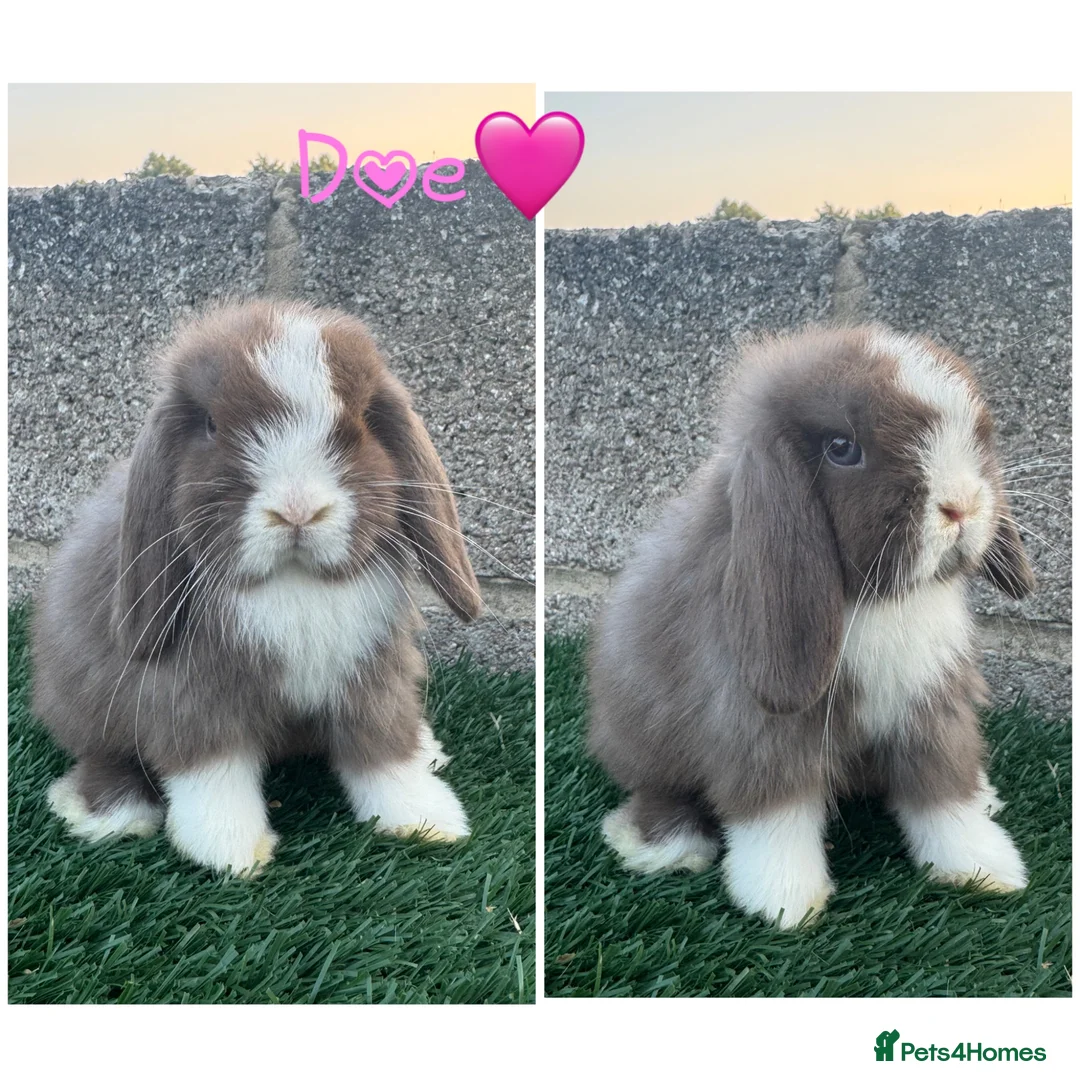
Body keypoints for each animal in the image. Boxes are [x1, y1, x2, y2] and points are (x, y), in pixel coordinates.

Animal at [32, 299, 483, 875]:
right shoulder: (192, 697)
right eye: (211, 425)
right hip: (86, 705)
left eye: (361, 420)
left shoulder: (372, 679)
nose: (297, 509)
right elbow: (213, 773)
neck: (295, 583)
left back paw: (431, 749)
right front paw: (232, 852)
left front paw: (427, 823)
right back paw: (111, 812)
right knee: (105, 756)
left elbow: (385, 750)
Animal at [588, 325, 1036, 929]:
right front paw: (786, 902)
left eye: (976, 431)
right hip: (647, 740)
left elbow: (946, 795)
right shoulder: (763, 730)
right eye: (841, 448)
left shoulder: (931, 711)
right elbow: (776, 816)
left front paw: (985, 869)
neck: (878, 602)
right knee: (662, 792)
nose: (961, 504)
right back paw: (663, 847)